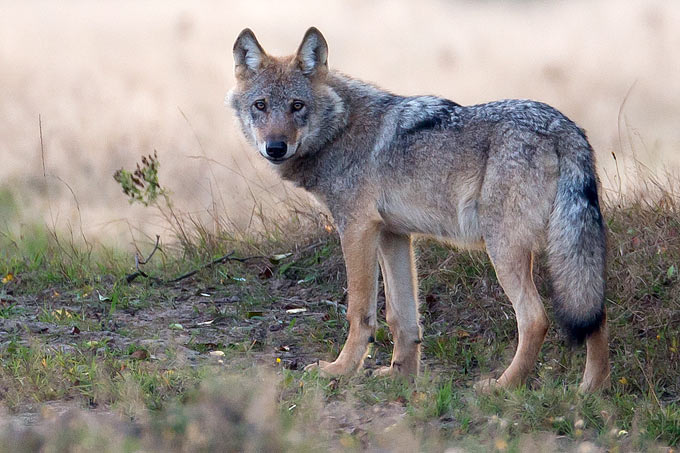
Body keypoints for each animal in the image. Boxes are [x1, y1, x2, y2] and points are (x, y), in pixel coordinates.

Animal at [228, 27, 610, 392]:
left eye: (297, 105)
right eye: (261, 105)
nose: (275, 147)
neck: (341, 128)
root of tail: (565, 127)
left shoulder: (356, 229)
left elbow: (359, 311)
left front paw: (340, 370)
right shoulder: (393, 235)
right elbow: (402, 317)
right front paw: (401, 376)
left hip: (504, 249)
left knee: (535, 319)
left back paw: (503, 386)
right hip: (574, 251)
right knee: (595, 310)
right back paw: (590, 391)